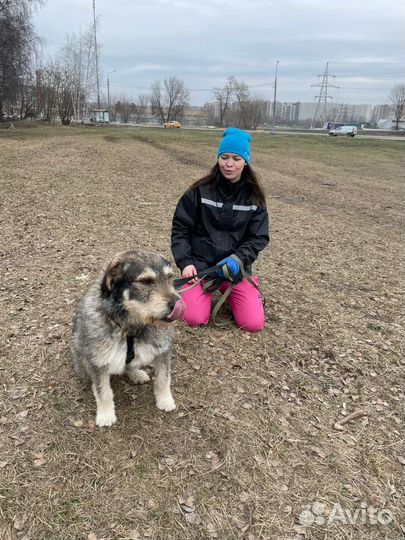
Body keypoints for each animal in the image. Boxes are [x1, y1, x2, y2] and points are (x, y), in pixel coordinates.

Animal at [70, 251, 182, 428]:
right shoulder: (98, 360)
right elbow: (103, 390)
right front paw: (105, 413)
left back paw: (136, 373)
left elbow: (163, 378)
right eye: (146, 281)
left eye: (170, 277)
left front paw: (165, 400)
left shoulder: (163, 350)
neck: (130, 326)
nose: (177, 304)